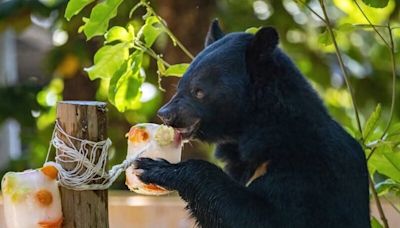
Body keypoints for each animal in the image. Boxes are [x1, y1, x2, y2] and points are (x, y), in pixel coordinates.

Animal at [135, 20, 372, 227]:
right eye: (180, 85)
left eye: (199, 91)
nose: (165, 114)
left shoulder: (308, 173)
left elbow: (267, 217)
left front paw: (155, 167)